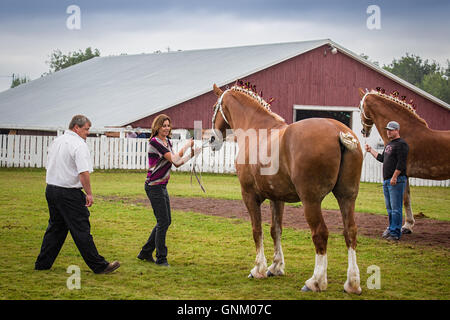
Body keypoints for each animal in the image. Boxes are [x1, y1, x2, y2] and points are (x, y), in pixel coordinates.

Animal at [209, 83, 364, 296]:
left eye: (215, 106)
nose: (211, 139)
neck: (256, 128)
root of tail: (337, 131)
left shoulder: (249, 196)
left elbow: (257, 230)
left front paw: (258, 269)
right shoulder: (277, 197)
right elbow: (276, 230)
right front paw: (275, 267)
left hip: (311, 201)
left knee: (320, 233)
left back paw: (315, 281)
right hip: (347, 197)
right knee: (350, 232)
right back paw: (352, 283)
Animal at [358, 87, 450, 232]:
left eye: (360, 108)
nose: (363, 131)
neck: (406, 132)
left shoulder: (401, 173)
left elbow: (405, 199)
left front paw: (406, 226)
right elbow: (407, 198)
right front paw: (409, 224)